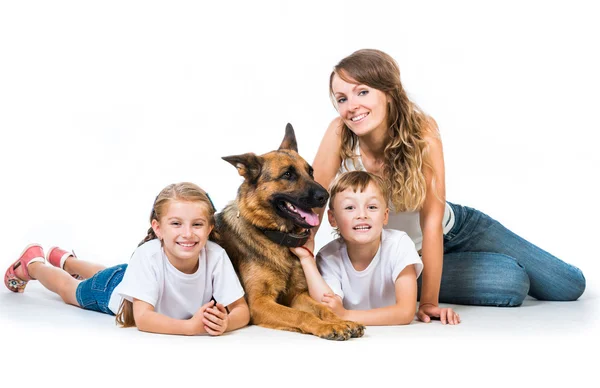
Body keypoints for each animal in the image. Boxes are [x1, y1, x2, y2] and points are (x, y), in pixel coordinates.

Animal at [216, 123, 366, 340]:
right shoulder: (259, 302)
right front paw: (327, 327)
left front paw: (340, 321)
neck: (273, 237)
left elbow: (323, 309)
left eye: (310, 172)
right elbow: (301, 315)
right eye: (287, 175)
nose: (325, 195)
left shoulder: (297, 294)